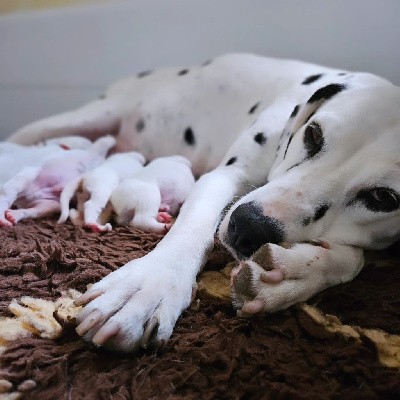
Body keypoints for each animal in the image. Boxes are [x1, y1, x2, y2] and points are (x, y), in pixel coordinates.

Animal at [6, 53, 400, 352]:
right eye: (314, 134)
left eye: (383, 197)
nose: (248, 227)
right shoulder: (223, 177)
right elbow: (193, 228)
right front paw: (148, 287)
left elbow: (356, 257)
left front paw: (291, 274)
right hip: (78, 118)